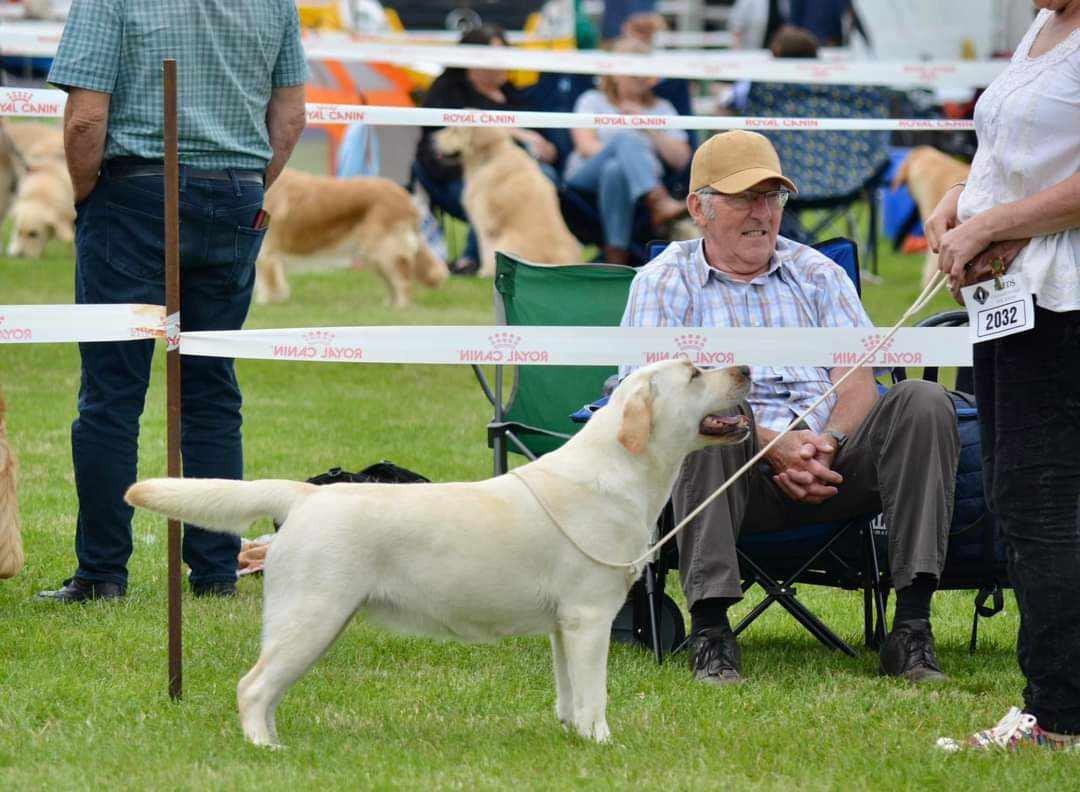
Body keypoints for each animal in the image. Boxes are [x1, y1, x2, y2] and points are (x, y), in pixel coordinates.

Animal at [124, 360, 751, 747]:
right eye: (695, 373)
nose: (745, 369)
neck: (618, 471)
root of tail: (305, 494)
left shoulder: (563, 626)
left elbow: (570, 693)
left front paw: (574, 737)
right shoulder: (591, 617)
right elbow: (595, 695)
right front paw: (602, 743)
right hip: (310, 616)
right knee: (252, 687)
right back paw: (265, 751)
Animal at [253, 169, 447, 309]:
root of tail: (406, 197)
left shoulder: (267, 252)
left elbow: (267, 282)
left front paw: (265, 303)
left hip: (385, 250)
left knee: (402, 280)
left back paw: (400, 307)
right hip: (374, 255)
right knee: (392, 281)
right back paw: (388, 306)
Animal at [434, 126, 583, 274]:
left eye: (455, 131)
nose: (433, 139)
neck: (489, 158)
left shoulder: (485, 222)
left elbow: (485, 249)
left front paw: (484, 272)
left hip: (508, 240)